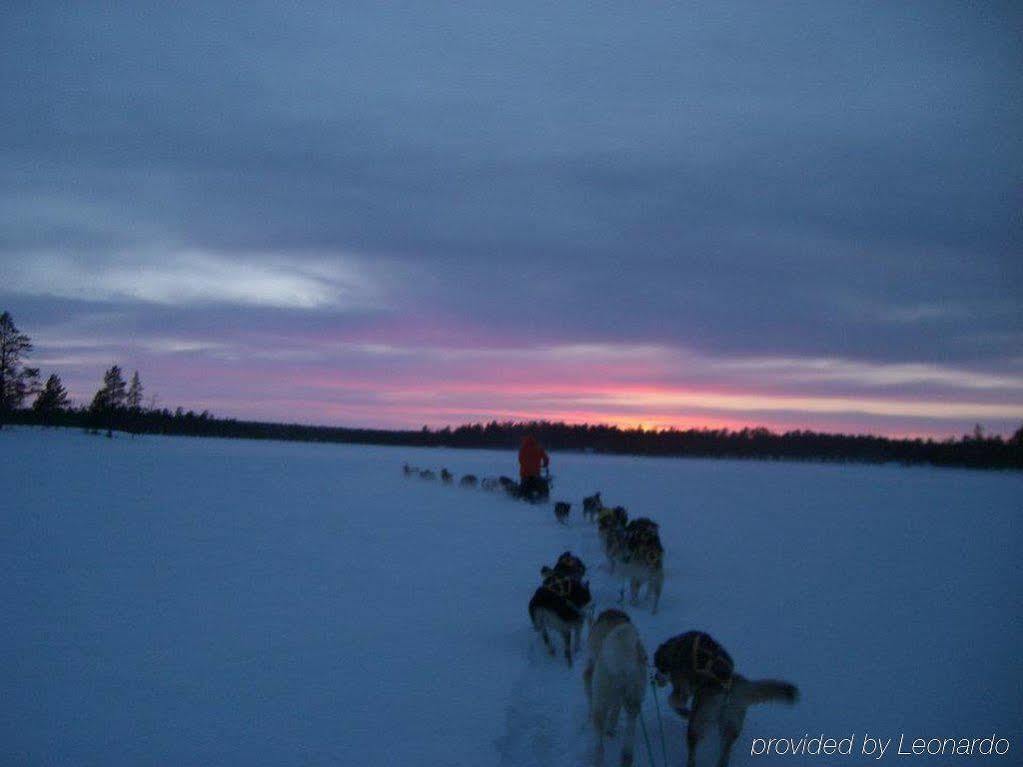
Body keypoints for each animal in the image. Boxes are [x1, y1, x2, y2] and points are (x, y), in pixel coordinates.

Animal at [585, 609, 646, 764]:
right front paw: (611, 729)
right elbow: (615, 711)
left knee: (599, 745)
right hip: (634, 703)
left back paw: (598, 759)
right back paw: (625, 757)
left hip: (600, 703)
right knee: (628, 741)